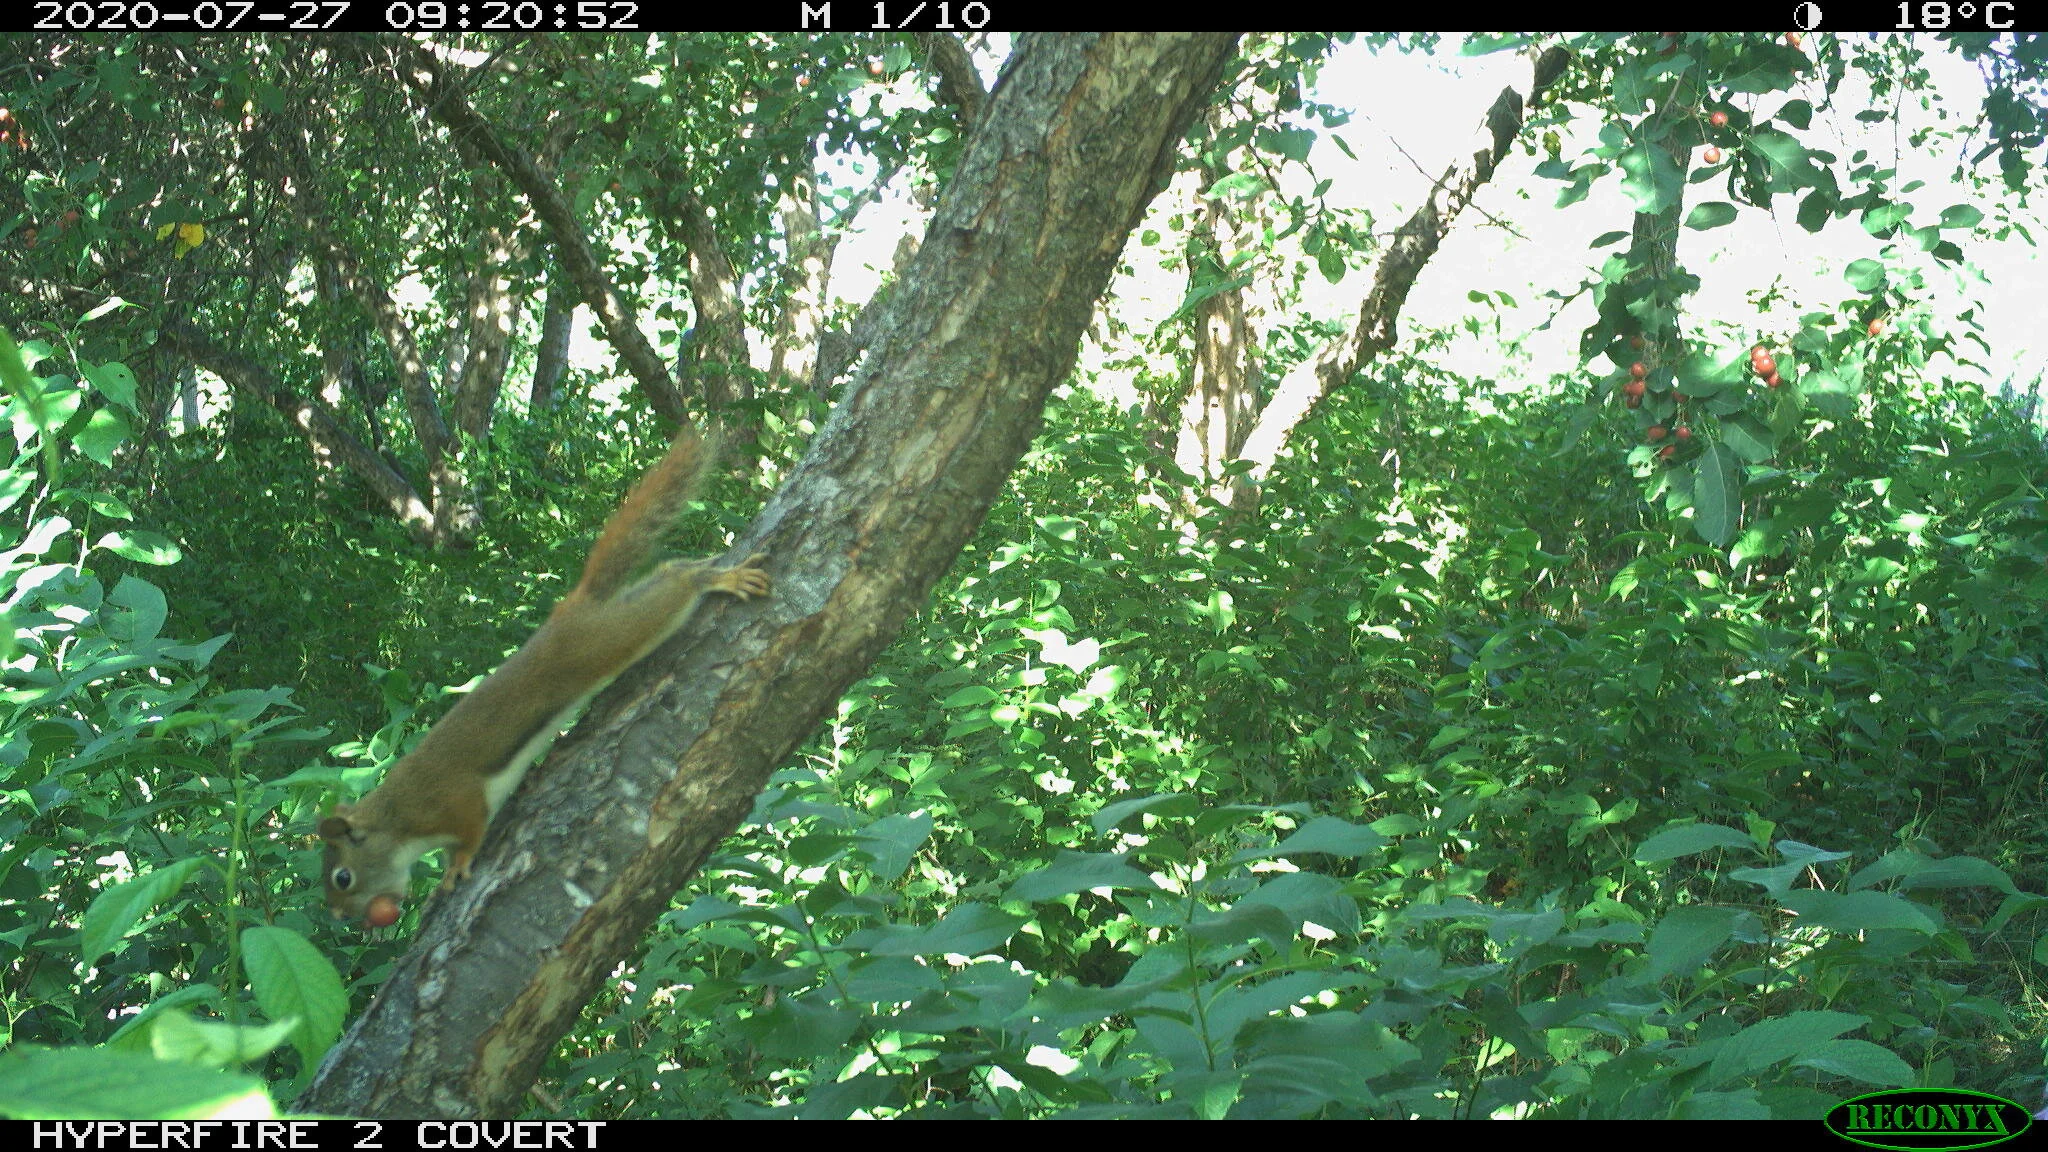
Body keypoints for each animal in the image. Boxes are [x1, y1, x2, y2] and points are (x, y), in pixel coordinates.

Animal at [319, 427, 770, 928]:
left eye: (342, 877)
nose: (340, 916)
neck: (396, 817)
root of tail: (568, 612)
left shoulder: (455, 801)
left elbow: (471, 831)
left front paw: (454, 869)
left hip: (607, 640)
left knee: (673, 589)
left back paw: (715, 579)